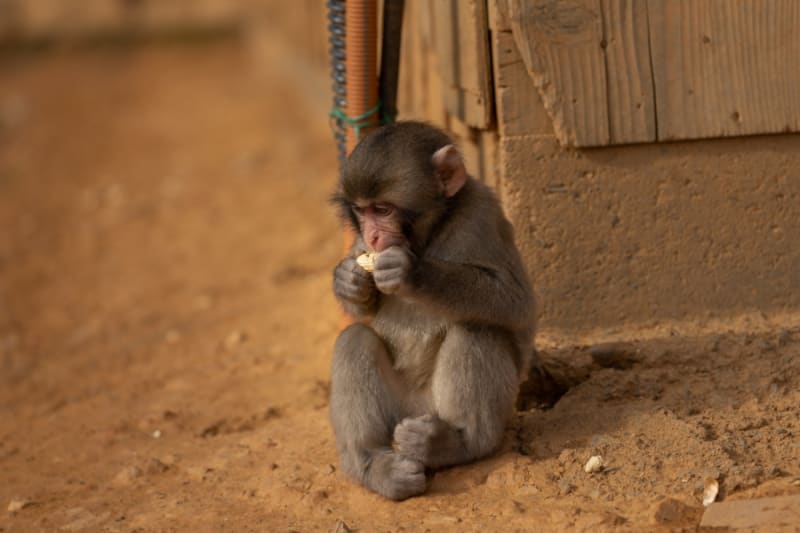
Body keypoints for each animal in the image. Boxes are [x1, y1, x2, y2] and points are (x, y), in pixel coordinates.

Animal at [330, 121, 535, 500]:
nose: (375, 238)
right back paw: (373, 465)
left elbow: (516, 302)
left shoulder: (480, 213)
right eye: (362, 211)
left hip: (441, 408)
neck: (428, 235)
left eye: (383, 210)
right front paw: (348, 280)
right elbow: (361, 311)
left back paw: (455, 443)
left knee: (476, 326)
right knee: (354, 338)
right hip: (399, 408)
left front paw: (413, 273)